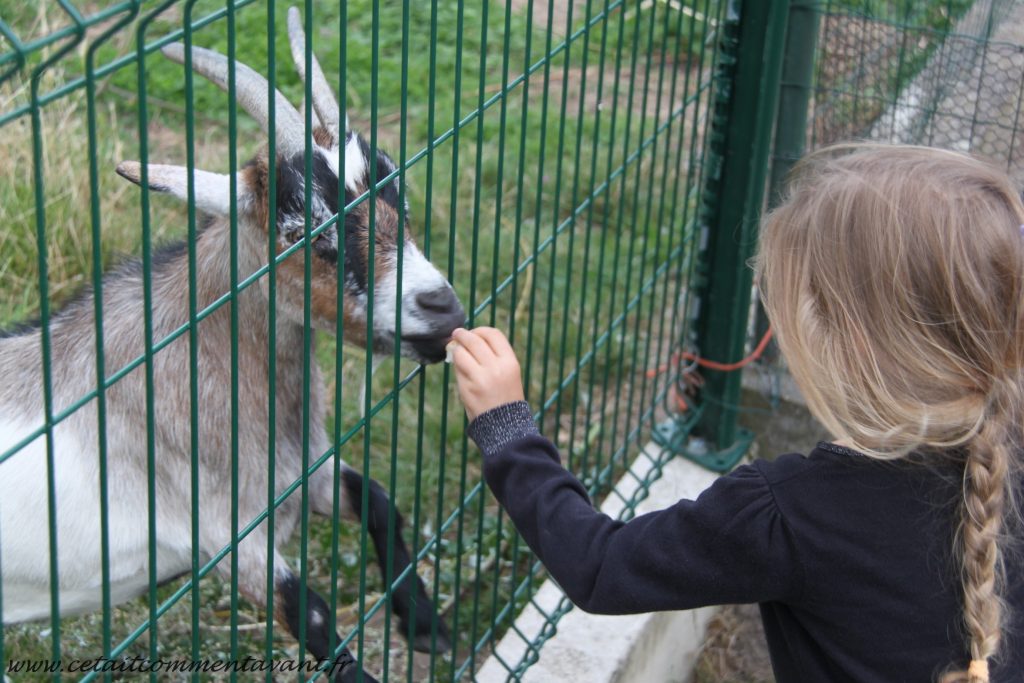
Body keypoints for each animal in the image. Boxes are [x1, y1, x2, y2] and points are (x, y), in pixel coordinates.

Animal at [0, 7, 464, 679]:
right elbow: (313, 615)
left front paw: (427, 626)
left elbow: (380, 501)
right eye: (301, 233)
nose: (443, 309)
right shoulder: (227, 539)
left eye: (395, 192)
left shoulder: (304, 477)